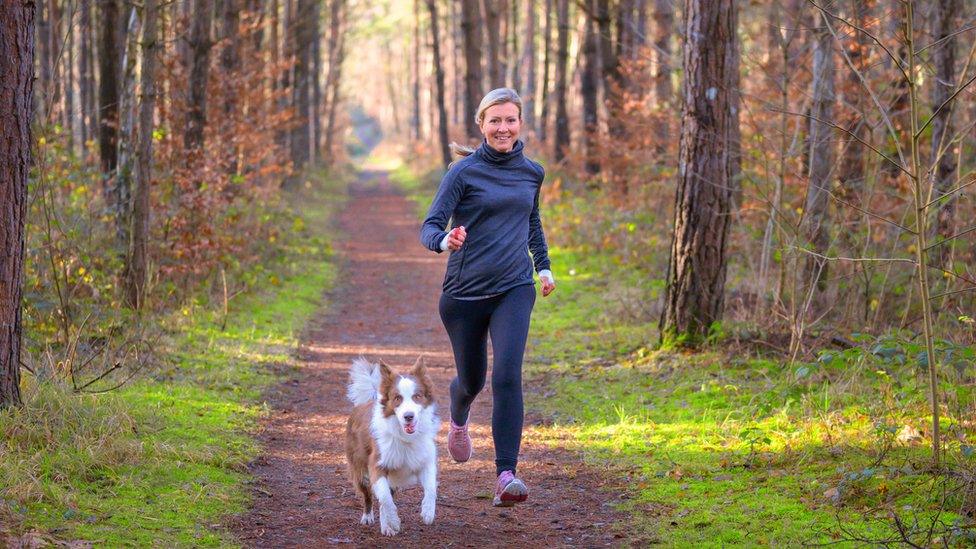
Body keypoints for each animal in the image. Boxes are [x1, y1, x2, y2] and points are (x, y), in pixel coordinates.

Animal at [342, 356, 436, 536]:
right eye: (397, 398)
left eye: (417, 396)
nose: (408, 416)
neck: (404, 437)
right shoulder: (377, 465)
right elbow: (385, 499)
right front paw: (393, 521)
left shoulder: (424, 461)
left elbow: (431, 488)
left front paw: (428, 512)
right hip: (360, 468)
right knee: (369, 496)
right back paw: (370, 518)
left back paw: (386, 526)